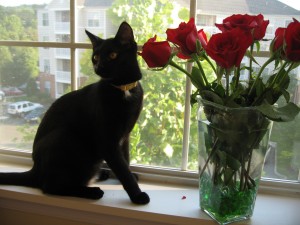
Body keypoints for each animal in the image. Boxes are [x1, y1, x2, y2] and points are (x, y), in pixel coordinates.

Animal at [0, 22, 150, 205]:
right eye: (95, 57)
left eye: (113, 55)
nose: (98, 67)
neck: (124, 88)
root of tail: (35, 169)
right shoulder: (107, 141)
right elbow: (122, 169)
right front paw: (137, 195)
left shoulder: (124, 136)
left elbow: (125, 160)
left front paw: (131, 176)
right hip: (64, 136)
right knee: (50, 186)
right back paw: (92, 192)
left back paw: (101, 174)